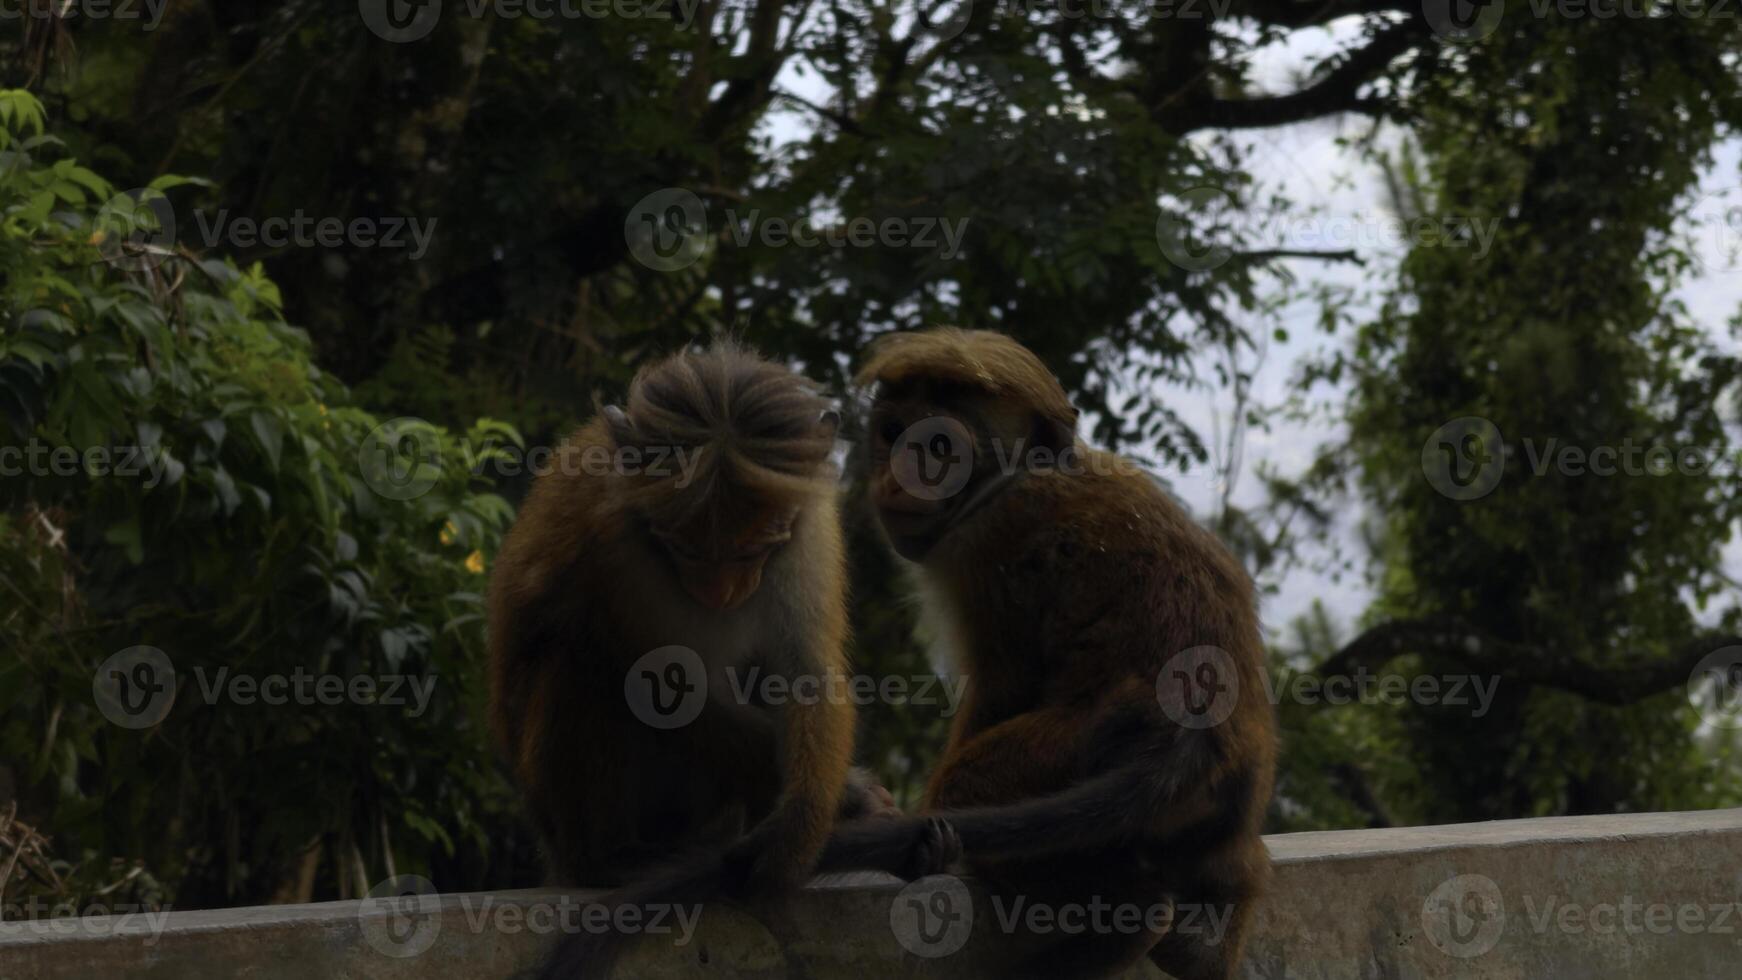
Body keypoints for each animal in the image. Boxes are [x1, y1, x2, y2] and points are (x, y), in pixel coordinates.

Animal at [815, 328, 1282, 980]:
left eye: (941, 444)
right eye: (894, 432)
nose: (907, 471)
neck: (1022, 472)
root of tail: (1190, 738)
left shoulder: (987, 535)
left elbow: (1003, 686)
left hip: (1070, 753)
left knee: (970, 787)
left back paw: (1136, 916)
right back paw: (1207, 935)